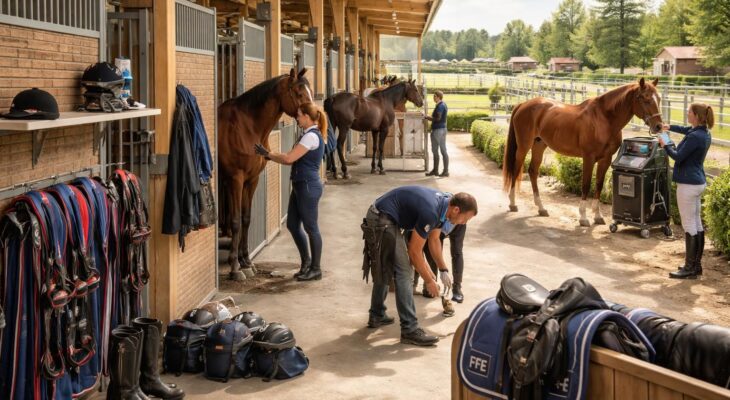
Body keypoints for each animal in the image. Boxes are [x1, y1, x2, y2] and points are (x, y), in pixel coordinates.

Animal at [218, 68, 313, 281]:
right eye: (299, 93)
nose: (315, 116)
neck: (247, 127)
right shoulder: (235, 179)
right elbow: (235, 221)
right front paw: (235, 267)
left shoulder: (251, 180)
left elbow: (246, 218)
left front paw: (246, 262)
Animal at [502, 77, 664, 227]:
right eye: (645, 98)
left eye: (659, 98)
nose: (659, 126)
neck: (603, 119)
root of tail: (522, 105)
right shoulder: (588, 158)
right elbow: (585, 184)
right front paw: (583, 217)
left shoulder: (606, 159)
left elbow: (598, 184)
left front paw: (597, 216)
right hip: (524, 146)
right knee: (516, 169)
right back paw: (512, 204)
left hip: (539, 145)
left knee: (533, 171)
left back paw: (541, 208)